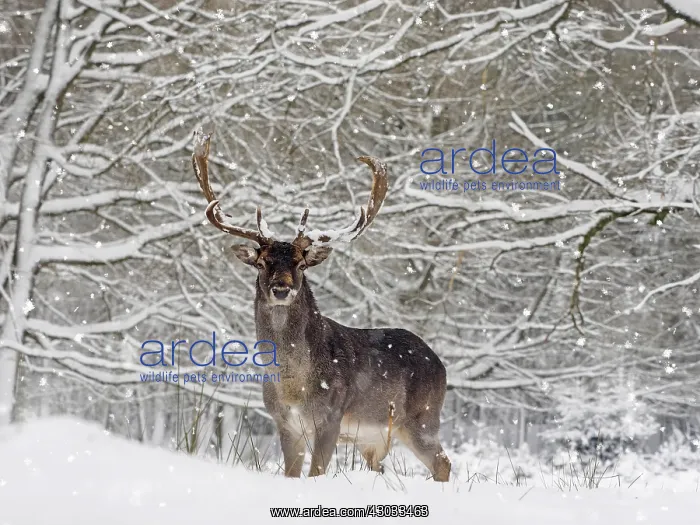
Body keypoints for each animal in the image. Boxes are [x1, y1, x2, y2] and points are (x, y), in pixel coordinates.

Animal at [192, 131, 451, 482]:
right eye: (261, 263)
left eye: (301, 264)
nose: (281, 288)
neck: (293, 388)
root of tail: (440, 363)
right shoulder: (284, 422)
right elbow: (291, 473)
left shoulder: (331, 416)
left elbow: (316, 473)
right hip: (373, 440)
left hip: (422, 420)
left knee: (443, 462)